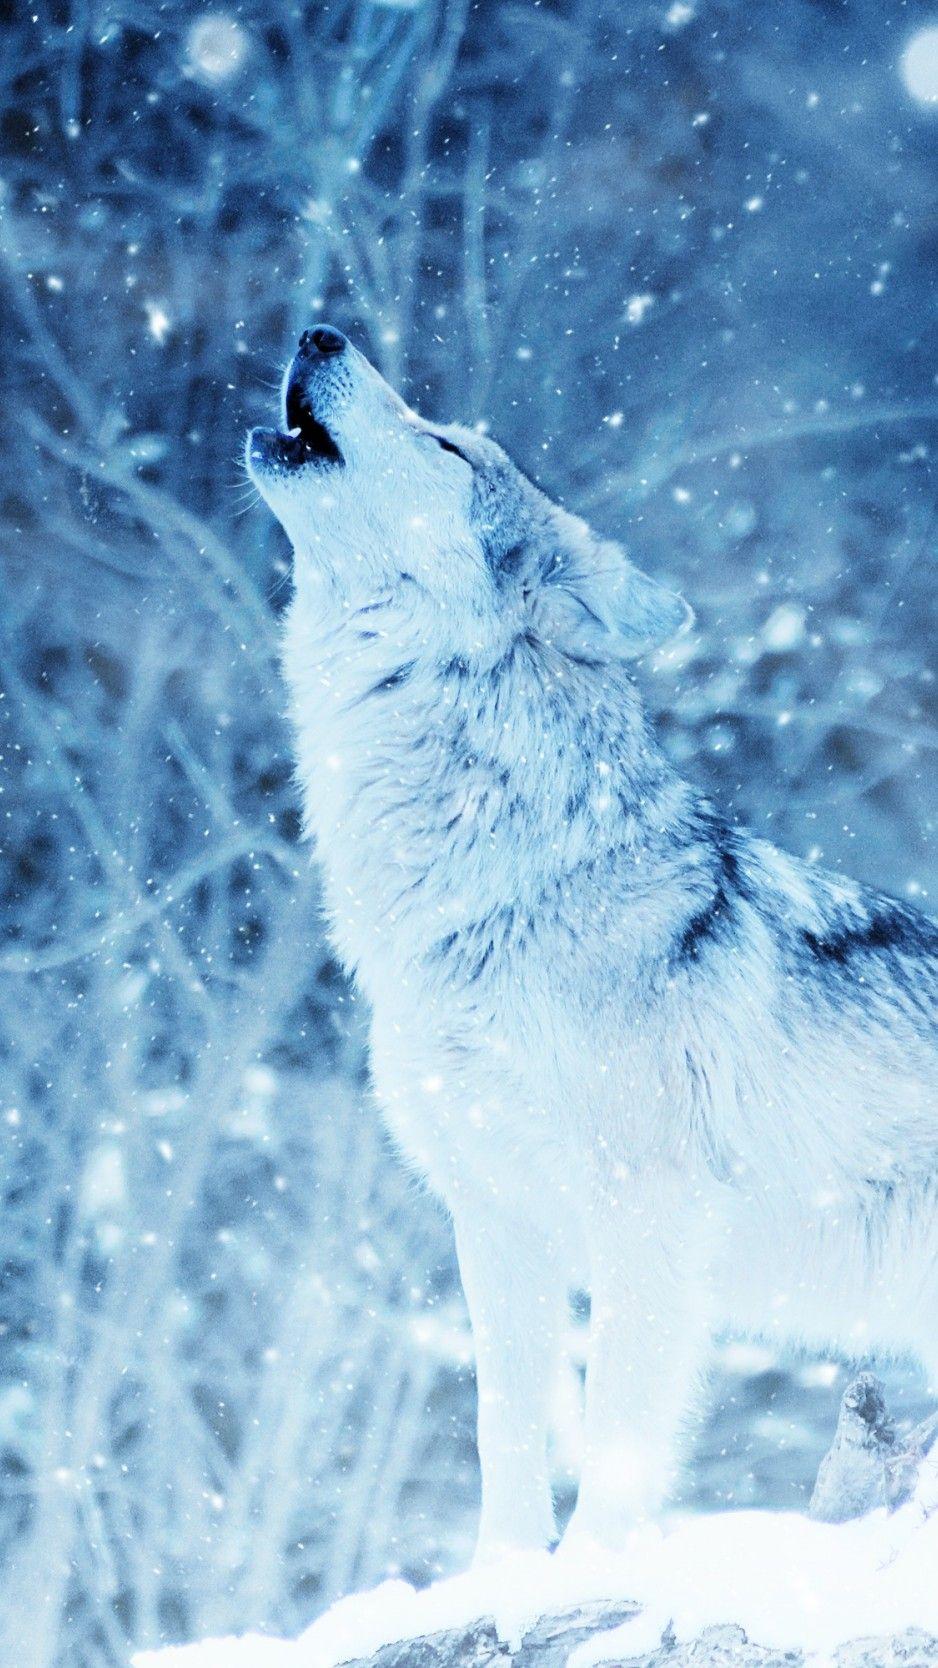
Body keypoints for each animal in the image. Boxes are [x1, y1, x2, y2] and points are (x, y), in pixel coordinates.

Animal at [247, 325, 938, 1561]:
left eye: (446, 446)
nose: (321, 331)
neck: (495, 892)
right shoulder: (495, 1223)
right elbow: (506, 1433)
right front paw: (503, 1579)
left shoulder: (645, 1221)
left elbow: (616, 1441)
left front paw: (592, 1576)